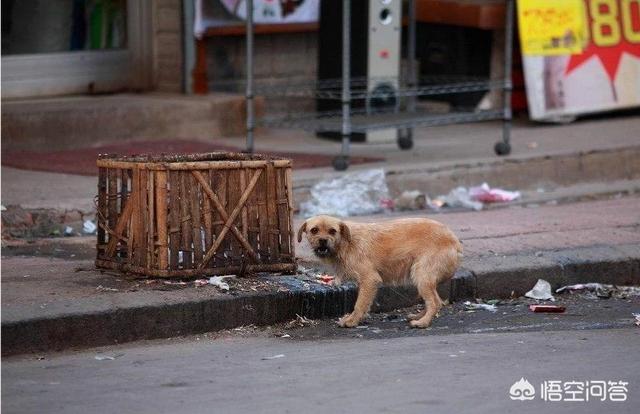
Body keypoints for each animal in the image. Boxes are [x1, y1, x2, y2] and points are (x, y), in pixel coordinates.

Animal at [298, 215, 462, 328]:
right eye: (314, 230)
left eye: (332, 231)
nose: (323, 241)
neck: (346, 243)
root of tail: (454, 241)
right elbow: (364, 303)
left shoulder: (369, 279)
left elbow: (359, 304)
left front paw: (352, 320)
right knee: (434, 301)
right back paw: (418, 316)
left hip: (422, 275)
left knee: (435, 302)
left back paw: (423, 323)